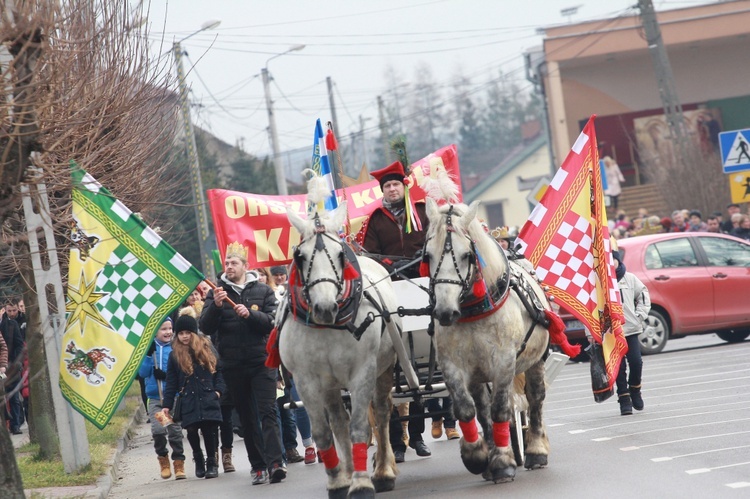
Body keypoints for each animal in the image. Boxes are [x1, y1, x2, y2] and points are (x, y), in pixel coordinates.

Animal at [280, 204, 400, 499]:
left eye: (339, 254)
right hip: (331, 384)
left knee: (381, 413)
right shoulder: (306, 380)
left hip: (384, 367)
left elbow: (360, 427)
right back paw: (348, 471)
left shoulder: (363, 372)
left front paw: (362, 484)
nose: (325, 308)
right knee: (338, 421)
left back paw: (383, 471)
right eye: (300, 256)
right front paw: (339, 482)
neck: (329, 326)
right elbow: (324, 432)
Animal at [426, 199, 556, 484]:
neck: (474, 311)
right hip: (478, 374)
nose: (445, 312)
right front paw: (477, 455)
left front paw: (503, 463)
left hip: (534, 361)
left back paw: (535, 451)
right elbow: (467, 409)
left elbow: (500, 409)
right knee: (482, 407)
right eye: (427, 256)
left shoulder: (504, 362)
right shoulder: (452, 365)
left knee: (535, 398)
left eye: (467, 255)